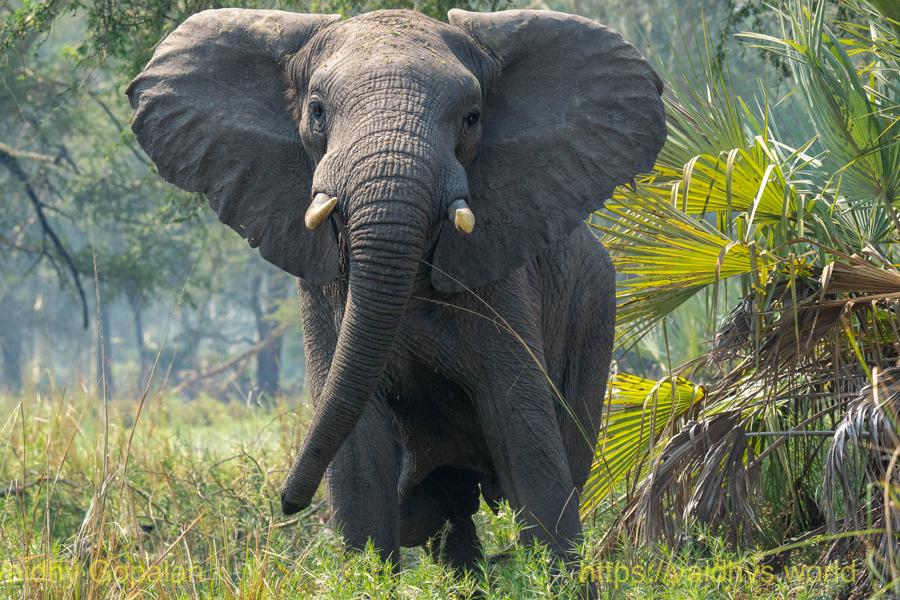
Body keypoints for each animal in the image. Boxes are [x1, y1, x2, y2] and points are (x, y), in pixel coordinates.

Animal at [127, 7, 665, 576]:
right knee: (443, 508)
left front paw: (556, 574)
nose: (287, 503)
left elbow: (524, 432)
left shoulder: (503, 282)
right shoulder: (324, 291)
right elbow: (358, 448)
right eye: (317, 112)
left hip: (593, 316)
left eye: (472, 117)